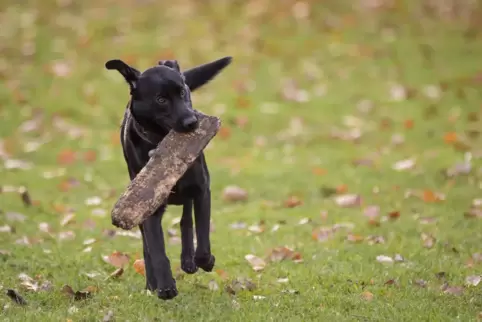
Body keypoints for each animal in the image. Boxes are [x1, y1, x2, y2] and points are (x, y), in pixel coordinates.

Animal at [105, 55, 232, 300]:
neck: (160, 142)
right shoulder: (145, 204)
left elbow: (202, 235)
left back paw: (188, 261)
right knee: (147, 244)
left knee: (186, 221)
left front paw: (205, 260)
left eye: (183, 92)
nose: (192, 122)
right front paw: (164, 286)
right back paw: (152, 283)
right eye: (161, 99)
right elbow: (155, 247)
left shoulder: (202, 190)